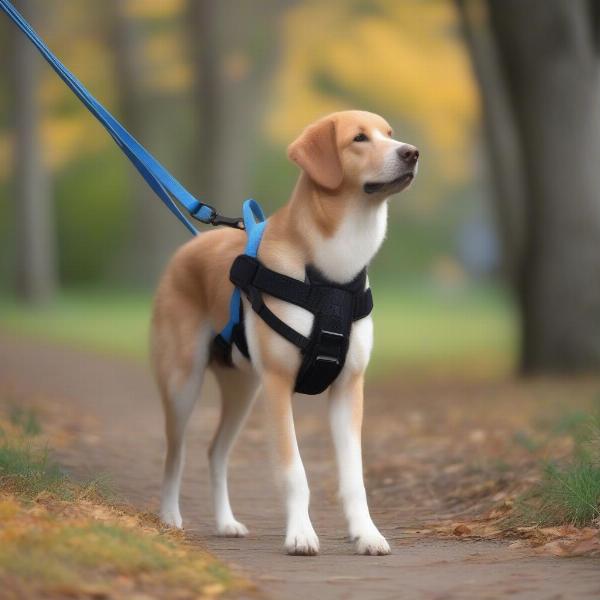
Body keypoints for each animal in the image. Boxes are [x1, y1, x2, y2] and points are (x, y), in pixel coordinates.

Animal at [152, 110, 420, 556]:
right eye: (359, 139)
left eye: (390, 134)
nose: (412, 153)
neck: (333, 271)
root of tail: (188, 249)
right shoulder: (278, 385)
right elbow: (294, 472)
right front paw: (300, 534)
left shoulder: (348, 387)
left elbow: (354, 478)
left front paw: (366, 533)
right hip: (183, 383)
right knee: (176, 453)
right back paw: (169, 517)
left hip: (243, 391)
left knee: (215, 452)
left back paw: (225, 522)